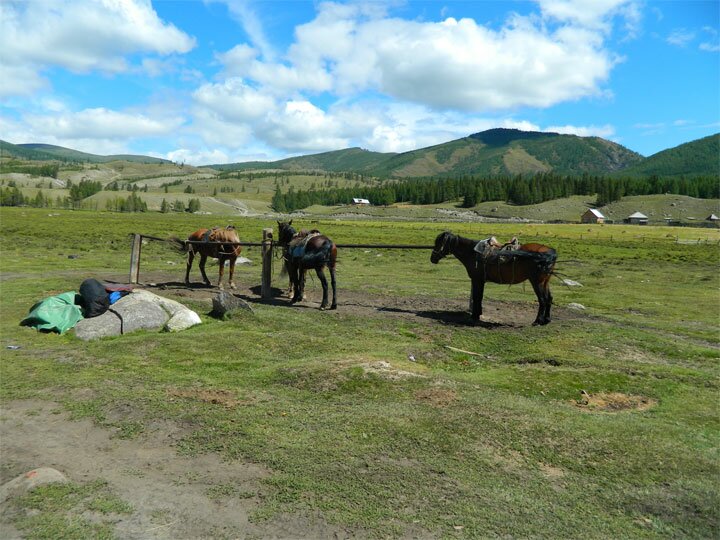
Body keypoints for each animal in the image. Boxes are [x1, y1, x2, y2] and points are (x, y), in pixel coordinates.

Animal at [430, 231, 560, 324]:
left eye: (438, 243)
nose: (432, 259)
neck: (472, 253)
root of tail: (549, 252)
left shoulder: (477, 280)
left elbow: (477, 297)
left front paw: (475, 316)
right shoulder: (480, 281)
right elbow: (479, 297)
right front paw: (477, 314)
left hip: (537, 282)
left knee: (542, 300)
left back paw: (537, 321)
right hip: (545, 281)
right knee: (549, 298)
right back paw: (547, 320)